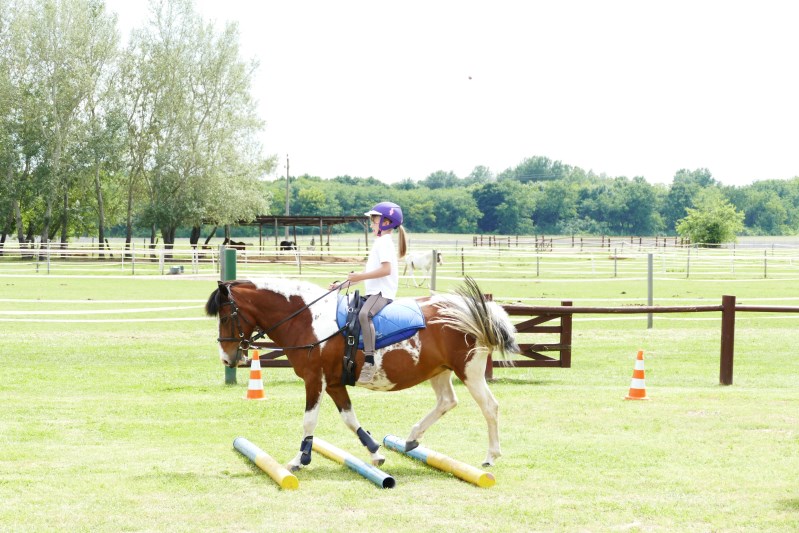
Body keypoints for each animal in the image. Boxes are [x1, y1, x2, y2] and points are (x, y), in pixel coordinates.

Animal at [205, 277, 518, 471]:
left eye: (226, 317)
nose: (227, 358)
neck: (307, 319)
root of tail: (475, 310)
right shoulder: (333, 383)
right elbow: (349, 418)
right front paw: (375, 451)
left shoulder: (315, 380)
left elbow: (309, 421)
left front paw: (300, 458)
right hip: (438, 371)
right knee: (447, 401)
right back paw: (412, 438)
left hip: (469, 371)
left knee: (489, 407)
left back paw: (491, 456)